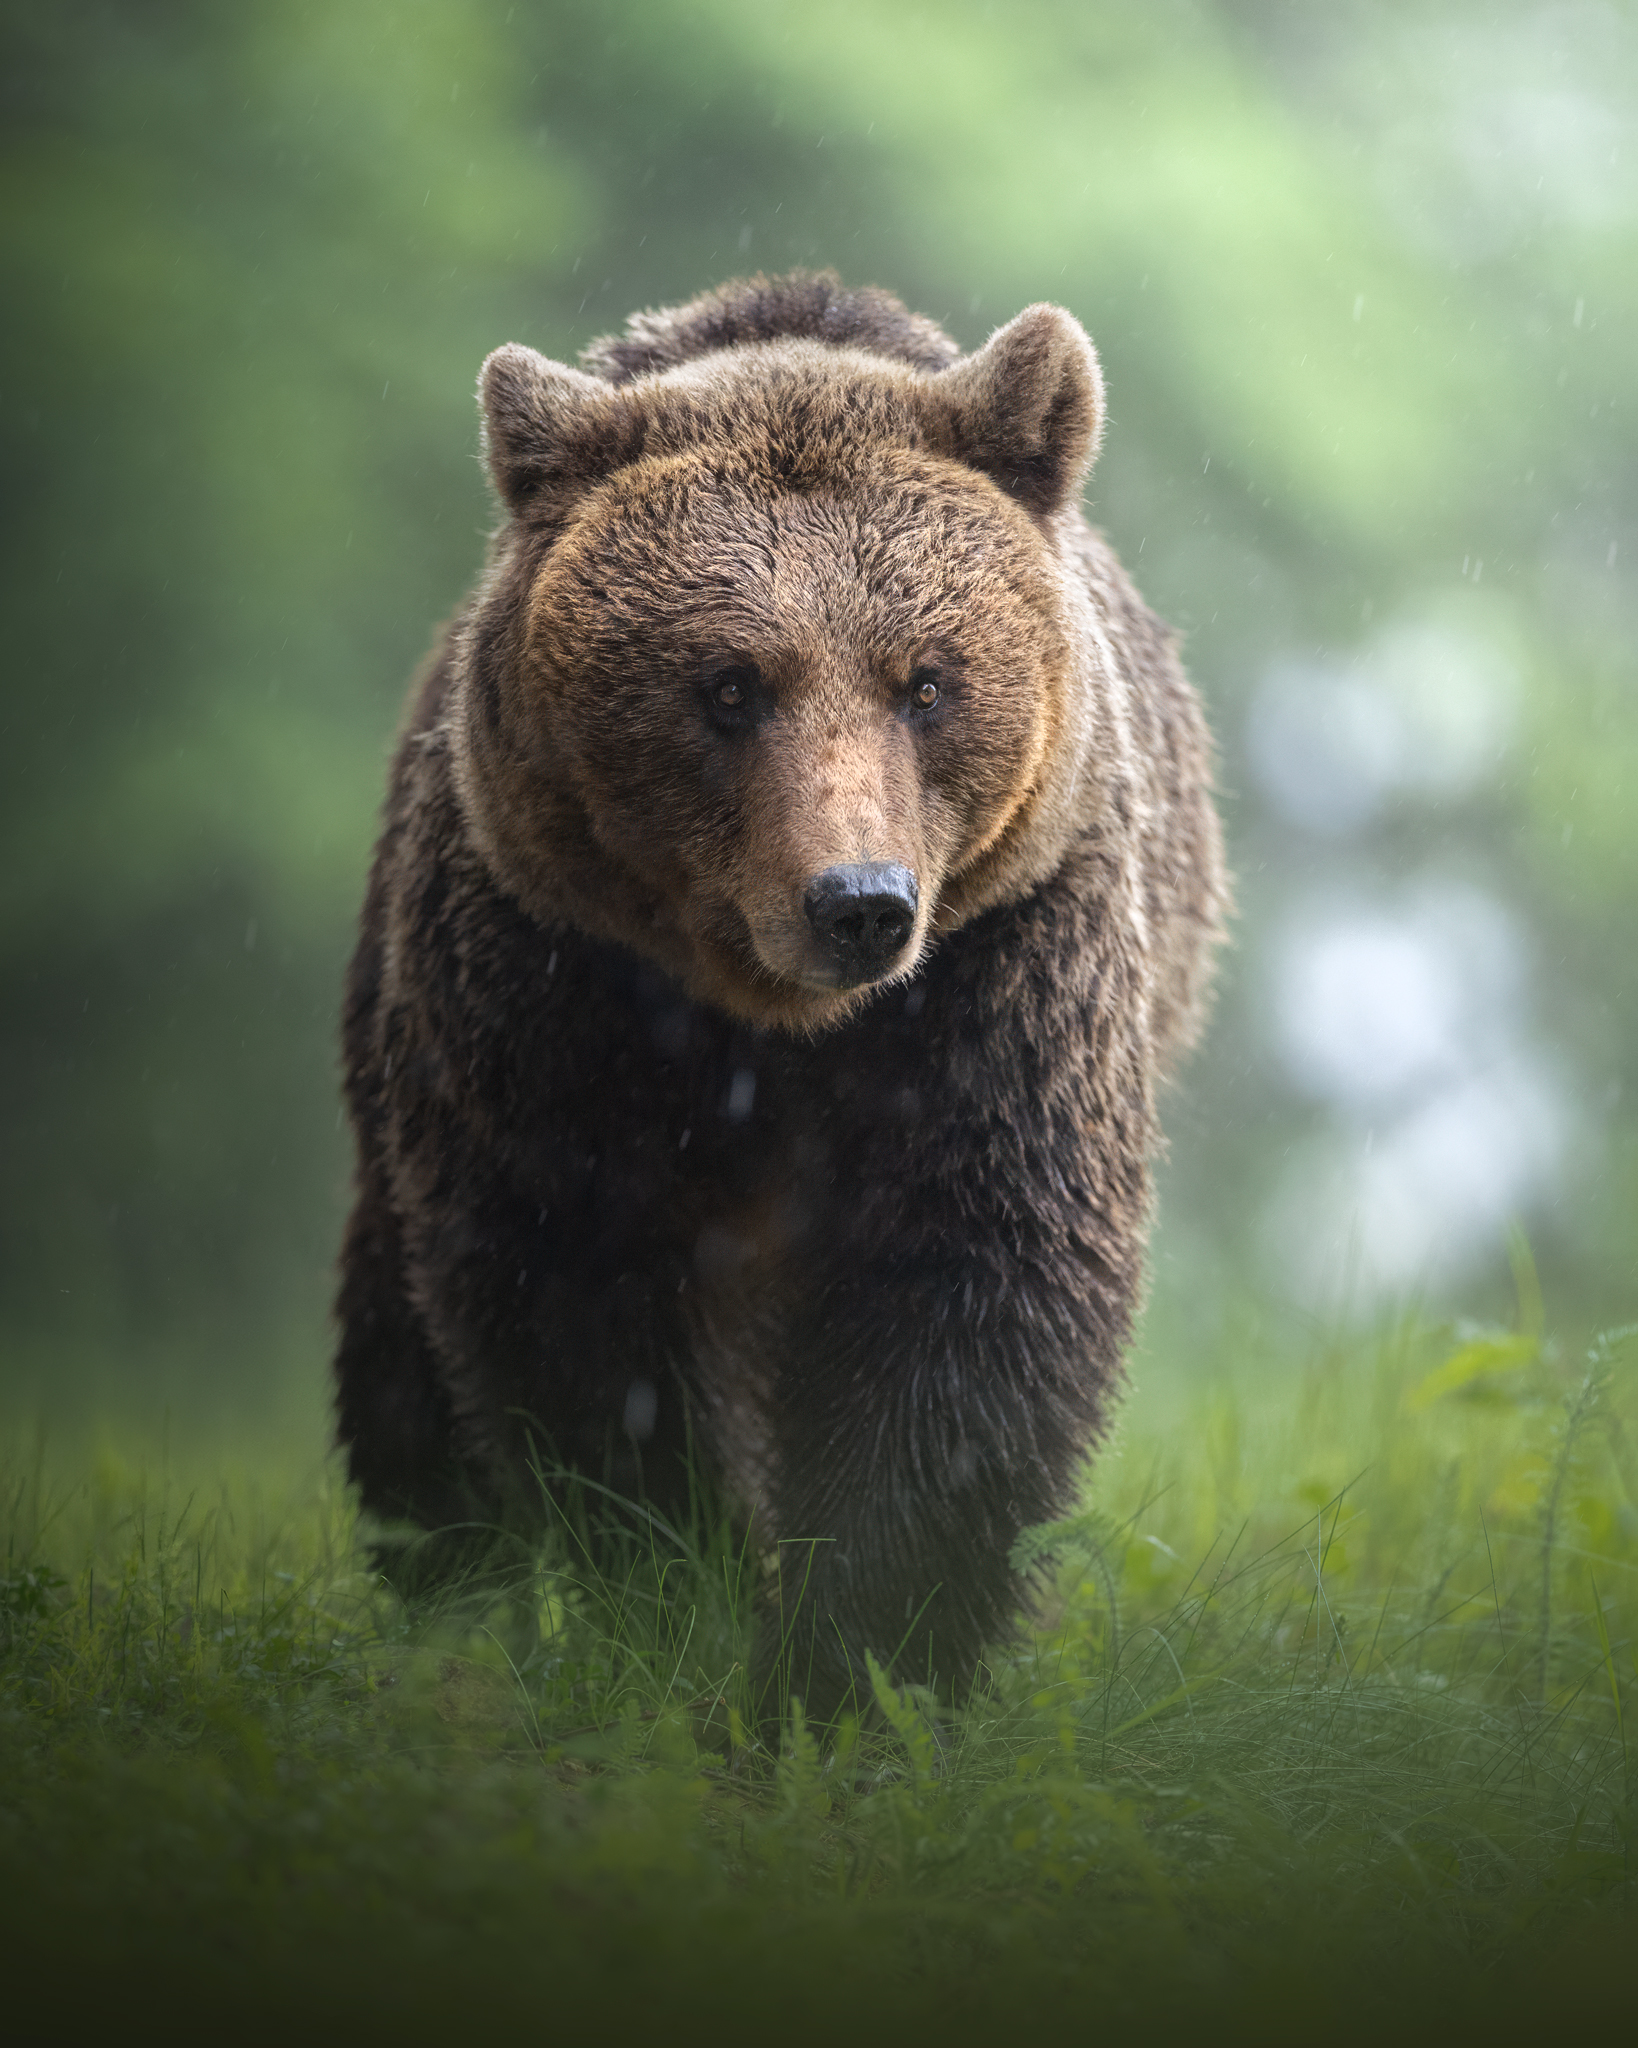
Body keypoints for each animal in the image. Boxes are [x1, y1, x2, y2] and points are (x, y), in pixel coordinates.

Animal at [334, 270, 1225, 1720]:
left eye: (926, 679)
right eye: (728, 684)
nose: (855, 901)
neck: (774, 1034)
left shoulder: (1000, 975)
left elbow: (965, 1302)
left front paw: (854, 1662)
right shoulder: (550, 985)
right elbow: (573, 1304)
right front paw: (676, 1591)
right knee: (398, 1347)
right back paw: (442, 1594)